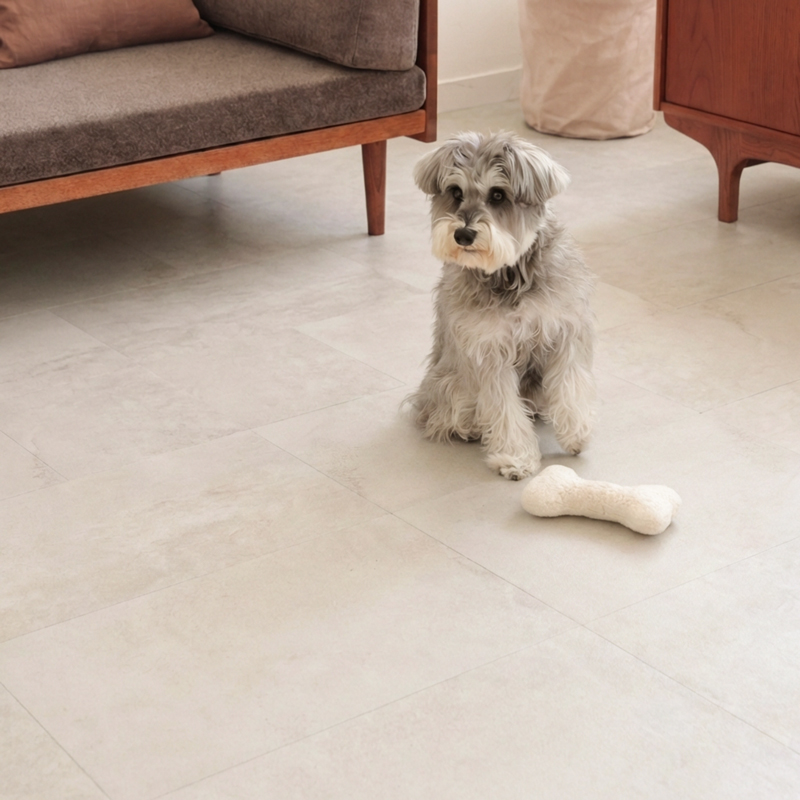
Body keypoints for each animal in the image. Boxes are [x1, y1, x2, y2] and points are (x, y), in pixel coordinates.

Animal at [408, 131, 595, 480]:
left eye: (498, 195)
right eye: (455, 192)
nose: (463, 234)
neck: (510, 273)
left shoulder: (565, 331)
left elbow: (570, 383)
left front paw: (576, 433)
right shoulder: (489, 350)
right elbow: (503, 408)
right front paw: (515, 457)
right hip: (449, 384)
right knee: (450, 414)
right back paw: (469, 427)